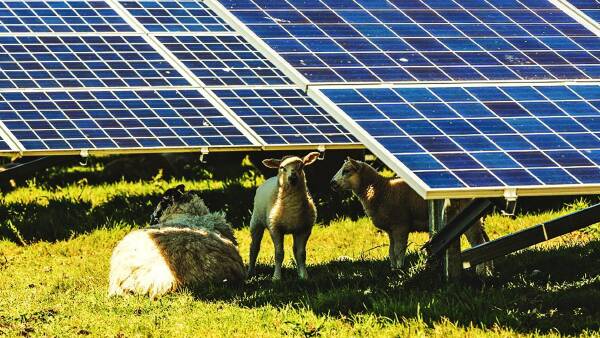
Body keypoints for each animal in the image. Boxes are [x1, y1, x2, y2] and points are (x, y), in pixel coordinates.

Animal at [246, 152, 322, 282]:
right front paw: (276, 277)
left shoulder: (304, 230)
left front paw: (303, 275)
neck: (292, 207)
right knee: (254, 248)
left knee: (295, 250)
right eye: (282, 167)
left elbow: (301, 253)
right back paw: (250, 272)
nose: (293, 177)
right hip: (256, 222)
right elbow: (279, 254)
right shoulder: (275, 229)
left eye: (301, 166)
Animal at [328, 158, 492, 274]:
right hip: (477, 219)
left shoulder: (400, 225)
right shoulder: (391, 229)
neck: (380, 189)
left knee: (478, 242)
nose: (332, 183)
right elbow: (391, 251)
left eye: (346, 170)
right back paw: (488, 270)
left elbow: (398, 250)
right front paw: (393, 269)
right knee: (484, 241)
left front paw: (400, 268)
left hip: (470, 219)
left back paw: (480, 271)